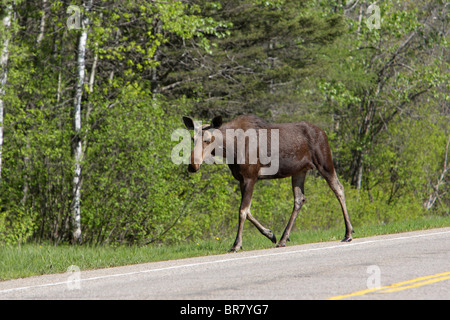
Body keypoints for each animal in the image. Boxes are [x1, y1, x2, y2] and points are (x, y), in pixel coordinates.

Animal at [181, 115, 354, 252]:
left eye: (208, 139)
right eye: (192, 139)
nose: (193, 165)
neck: (230, 150)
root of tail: (323, 132)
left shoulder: (250, 177)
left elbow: (242, 211)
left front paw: (237, 244)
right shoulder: (241, 180)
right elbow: (248, 211)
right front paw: (270, 234)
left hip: (324, 162)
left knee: (338, 188)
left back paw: (348, 233)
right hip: (299, 171)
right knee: (299, 199)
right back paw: (283, 238)